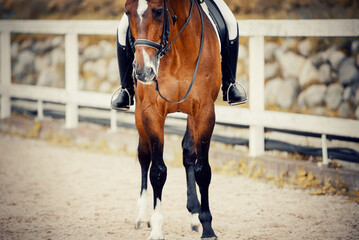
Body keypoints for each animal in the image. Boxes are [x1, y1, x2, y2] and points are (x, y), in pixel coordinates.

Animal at [126, 0, 222, 238]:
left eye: (159, 11)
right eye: (127, 12)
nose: (143, 71)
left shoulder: (204, 111)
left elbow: (202, 169)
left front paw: (208, 227)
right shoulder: (151, 112)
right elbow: (157, 171)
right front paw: (157, 228)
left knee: (189, 153)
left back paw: (195, 216)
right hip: (140, 113)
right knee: (144, 156)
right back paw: (142, 215)